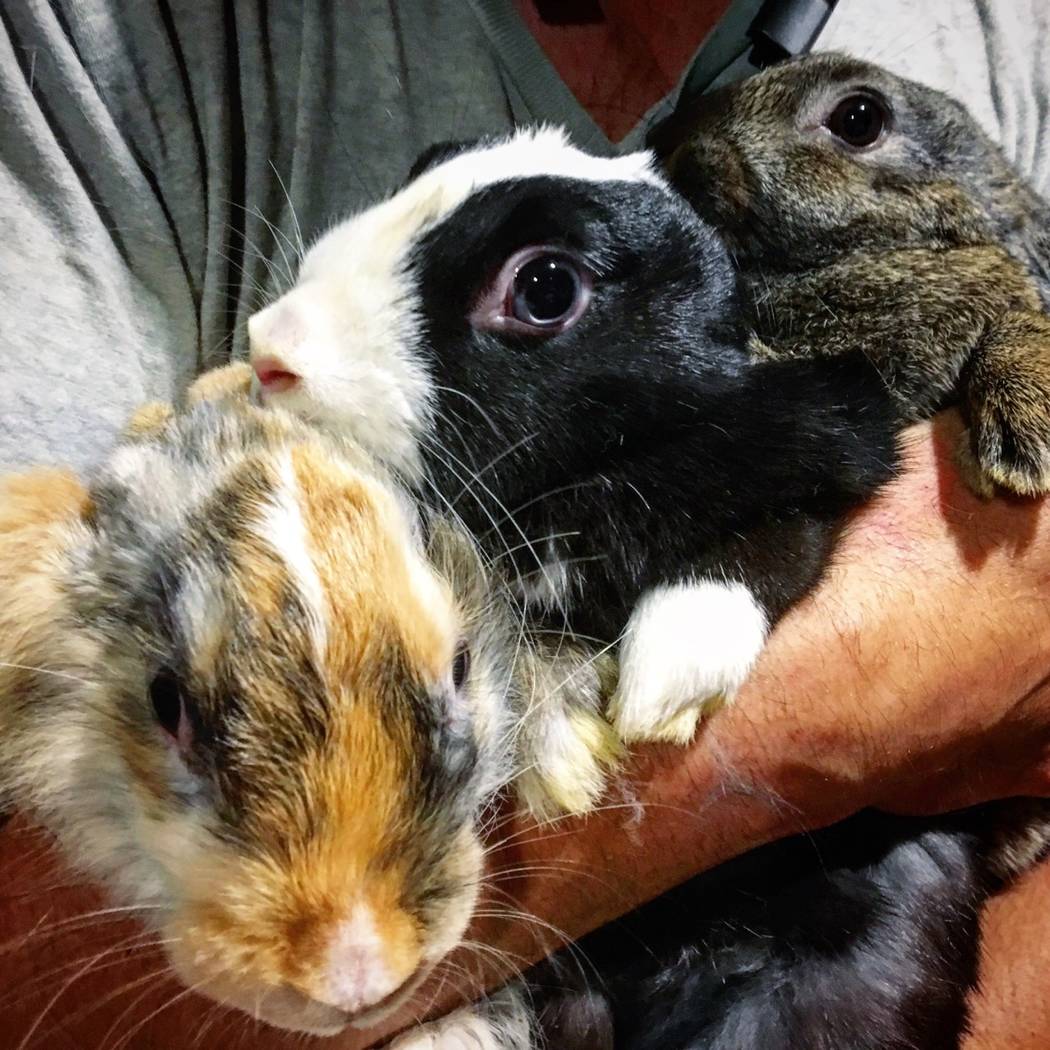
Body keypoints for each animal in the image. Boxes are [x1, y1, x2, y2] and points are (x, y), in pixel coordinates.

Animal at [244, 126, 899, 789]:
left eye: (545, 287)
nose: (269, 345)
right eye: (429, 163)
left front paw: (667, 678)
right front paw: (563, 745)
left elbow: (782, 536)